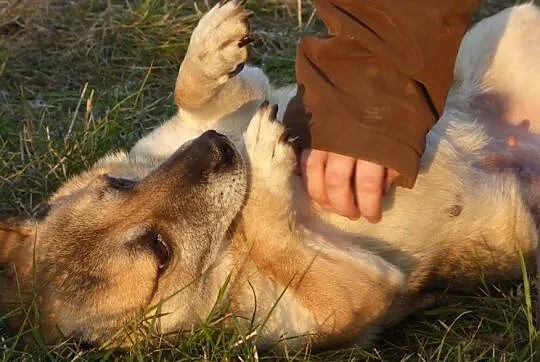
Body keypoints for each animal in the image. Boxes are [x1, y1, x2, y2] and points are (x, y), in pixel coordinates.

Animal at [1, 0, 540, 350]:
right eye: (160, 252)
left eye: (119, 184)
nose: (219, 146)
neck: (229, 237)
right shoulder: (357, 296)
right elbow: (277, 237)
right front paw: (265, 163)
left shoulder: (230, 102)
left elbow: (190, 88)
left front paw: (213, 45)